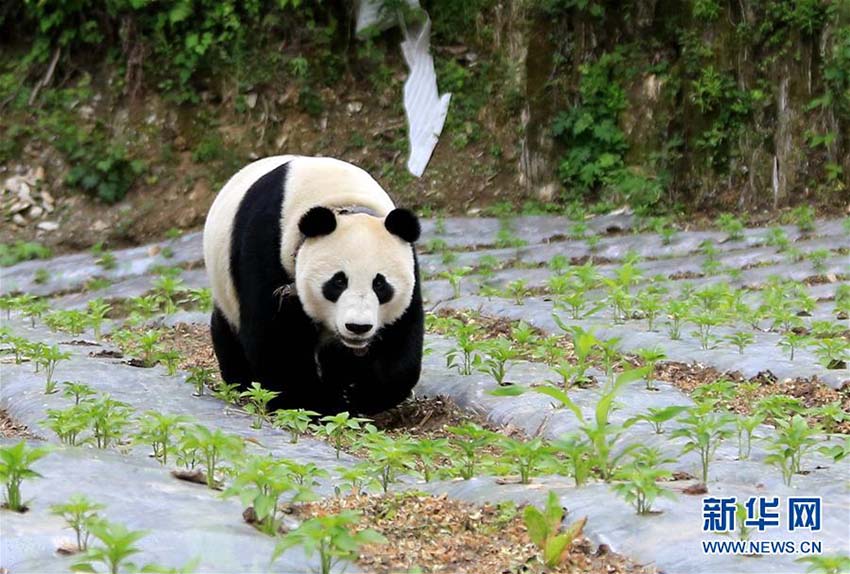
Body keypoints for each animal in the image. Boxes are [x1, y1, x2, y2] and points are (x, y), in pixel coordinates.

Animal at [202, 155, 420, 416]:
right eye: (338, 281)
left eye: (380, 284)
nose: (358, 327)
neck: (341, 200)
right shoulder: (267, 245)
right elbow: (276, 339)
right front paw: (313, 405)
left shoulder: (408, 260)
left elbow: (401, 340)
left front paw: (361, 395)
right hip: (225, 287)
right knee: (228, 331)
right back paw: (241, 384)